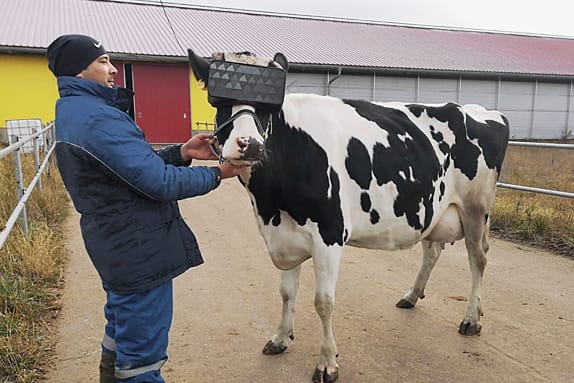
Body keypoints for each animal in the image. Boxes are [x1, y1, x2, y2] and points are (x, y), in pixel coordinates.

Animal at [190, 48, 512, 383]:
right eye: (219, 103)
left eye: (270, 108)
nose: (249, 145)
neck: (270, 204)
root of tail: (484, 111)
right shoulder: (285, 235)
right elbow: (286, 292)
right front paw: (279, 338)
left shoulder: (329, 235)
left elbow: (324, 302)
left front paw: (327, 363)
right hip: (431, 207)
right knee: (432, 251)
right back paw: (411, 296)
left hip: (476, 208)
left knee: (478, 259)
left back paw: (471, 319)